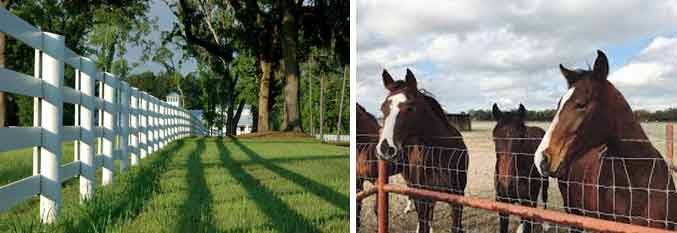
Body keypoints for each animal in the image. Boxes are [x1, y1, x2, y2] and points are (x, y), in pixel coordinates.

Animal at [378, 69, 468, 233]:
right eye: (383, 108)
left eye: (410, 108)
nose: (386, 148)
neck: (442, 155)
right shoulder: (422, 197)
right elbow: (423, 223)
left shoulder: (458, 198)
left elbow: (455, 226)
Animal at [492, 104, 548, 233]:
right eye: (495, 138)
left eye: (521, 139)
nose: (506, 185)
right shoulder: (503, 203)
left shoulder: (527, 202)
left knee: (544, 196)